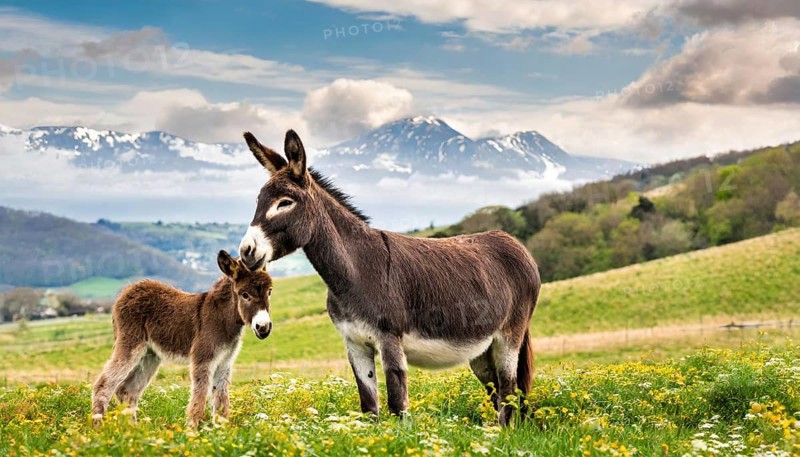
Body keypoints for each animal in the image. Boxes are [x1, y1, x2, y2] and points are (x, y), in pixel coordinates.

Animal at [91, 250, 273, 427]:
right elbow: (199, 399)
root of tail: (129, 289)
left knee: (127, 390)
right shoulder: (203, 359)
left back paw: (133, 431)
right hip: (130, 344)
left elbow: (222, 403)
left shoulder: (225, 363)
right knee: (104, 384)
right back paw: (98, 428)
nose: (263, 328)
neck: (222, 318)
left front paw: (221, 432)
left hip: (150, 355)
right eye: (245, 295)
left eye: (269, 292)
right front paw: (192, 432)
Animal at [238, 130, 540, 425]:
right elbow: (369, 408)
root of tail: (514, 243)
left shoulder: (389, 339)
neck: (355, 272)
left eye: (285, 203)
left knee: (509, 392)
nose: (246, 251)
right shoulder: (354, 343)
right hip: (480, 350)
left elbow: (397, 406)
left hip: (509, 336)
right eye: (258, 202)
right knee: (497, 392)